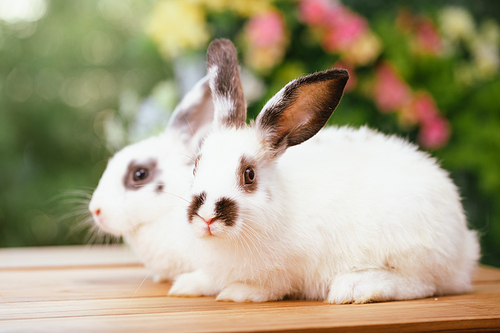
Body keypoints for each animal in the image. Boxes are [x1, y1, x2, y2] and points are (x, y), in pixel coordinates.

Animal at [169, 39, 480, 304]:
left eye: (249, 175)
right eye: (196, 166)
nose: (207, 216)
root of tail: (464, 244)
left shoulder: (287, 271)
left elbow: (268, 287)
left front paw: (237, 293)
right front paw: (187, 285)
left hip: (412, 250)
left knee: (423, 284)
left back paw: (355, 288)